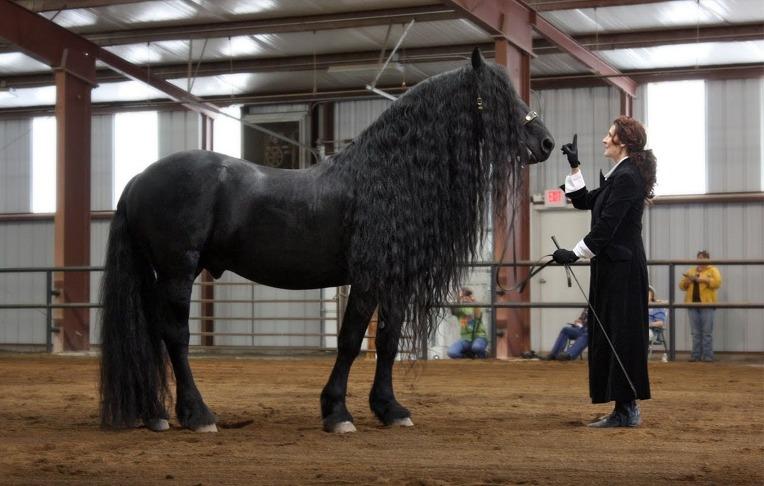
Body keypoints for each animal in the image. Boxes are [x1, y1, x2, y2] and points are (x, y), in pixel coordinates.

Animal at [100, 48, 556, 432]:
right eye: (495, 97)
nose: (547, 142)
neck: (386, 178)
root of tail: (138, 180)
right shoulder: (368, 278)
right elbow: (351, 340)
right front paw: (337, 413)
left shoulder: (395, 280)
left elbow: (388, 340)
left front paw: (390, 409)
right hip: (178, 270)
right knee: (174, 335)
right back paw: (198, 416)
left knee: (152, 333)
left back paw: (156, 415)